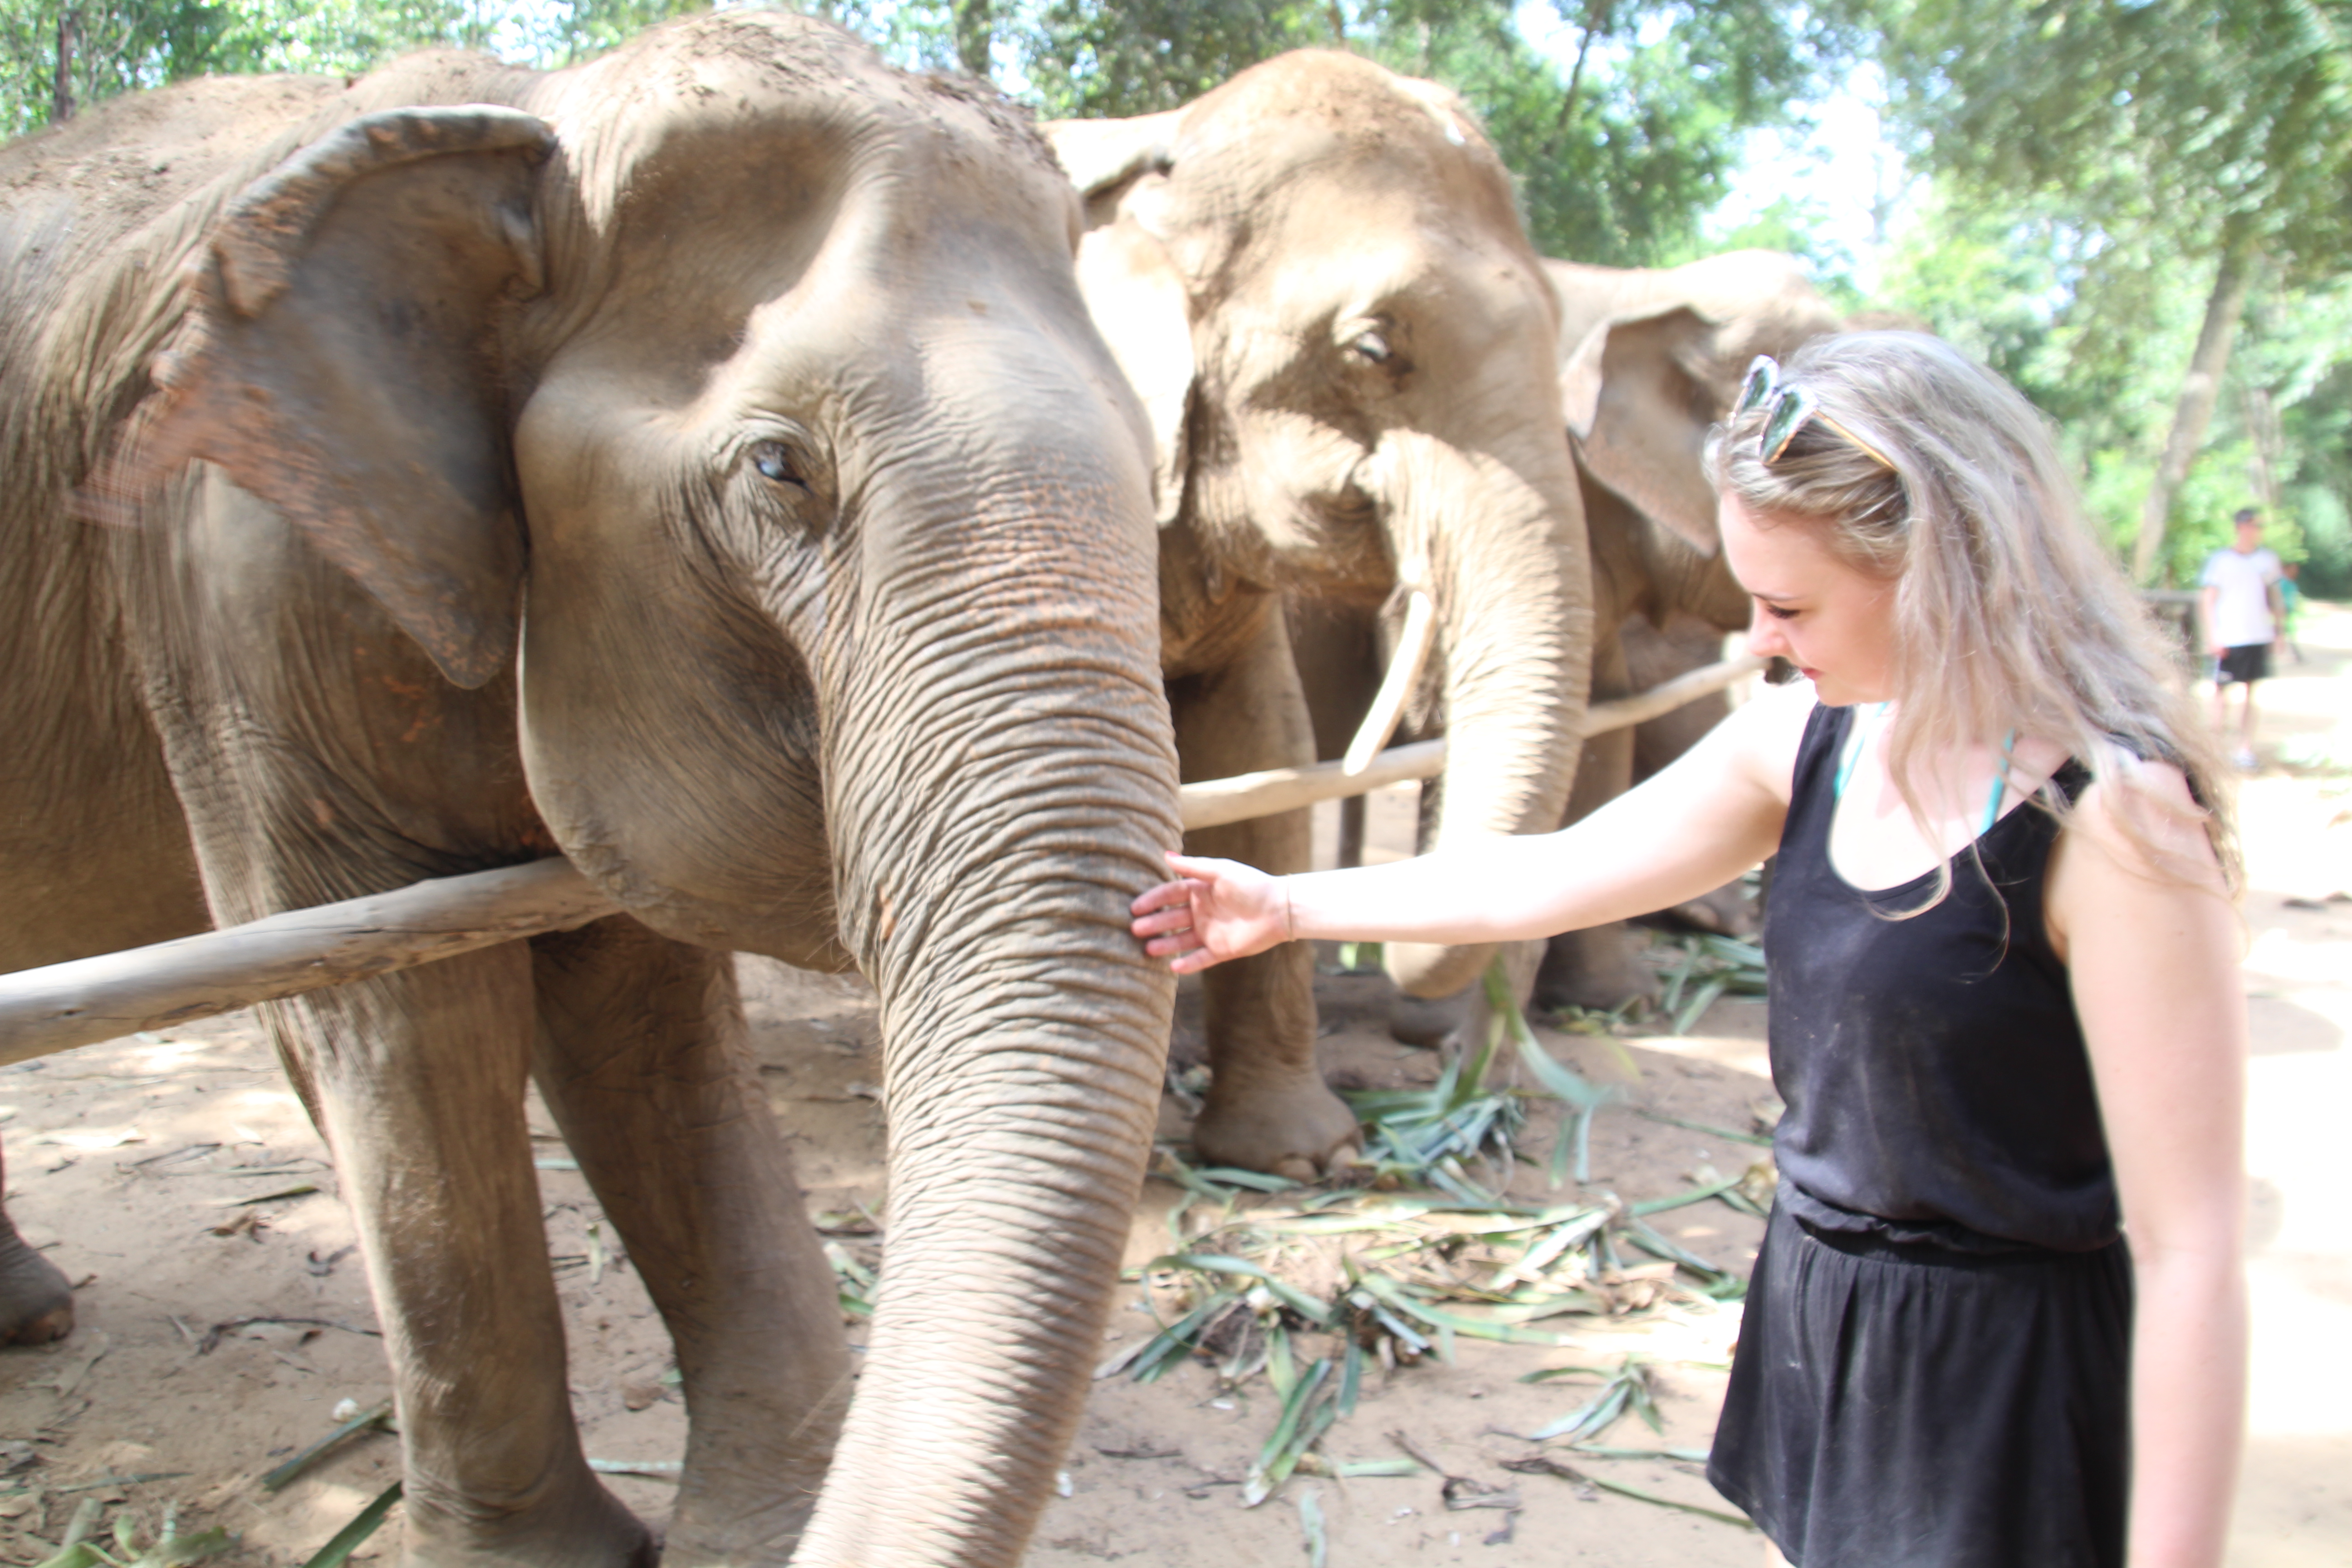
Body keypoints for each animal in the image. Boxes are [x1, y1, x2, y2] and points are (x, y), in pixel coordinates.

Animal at [3, 14, 1179, 1568]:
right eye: (779, 470)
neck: (544, 112)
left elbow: (641, 1009)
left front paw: (757, 1529)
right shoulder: (231, 584)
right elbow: (394, 1024)